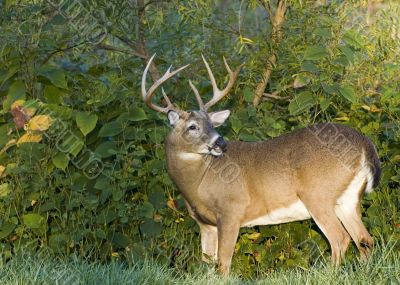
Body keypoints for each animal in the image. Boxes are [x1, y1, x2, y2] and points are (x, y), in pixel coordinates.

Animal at [141, 54, 382, 274]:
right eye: (192, 126)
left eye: (211, 123)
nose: (220, 142)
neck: (198, 182)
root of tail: (365, 144)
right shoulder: (205, 224)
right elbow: (207, 263)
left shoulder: (231, 210)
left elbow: (223, 263)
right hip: (347, 199)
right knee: (364, 239)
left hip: (318, 194)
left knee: (341, 239)